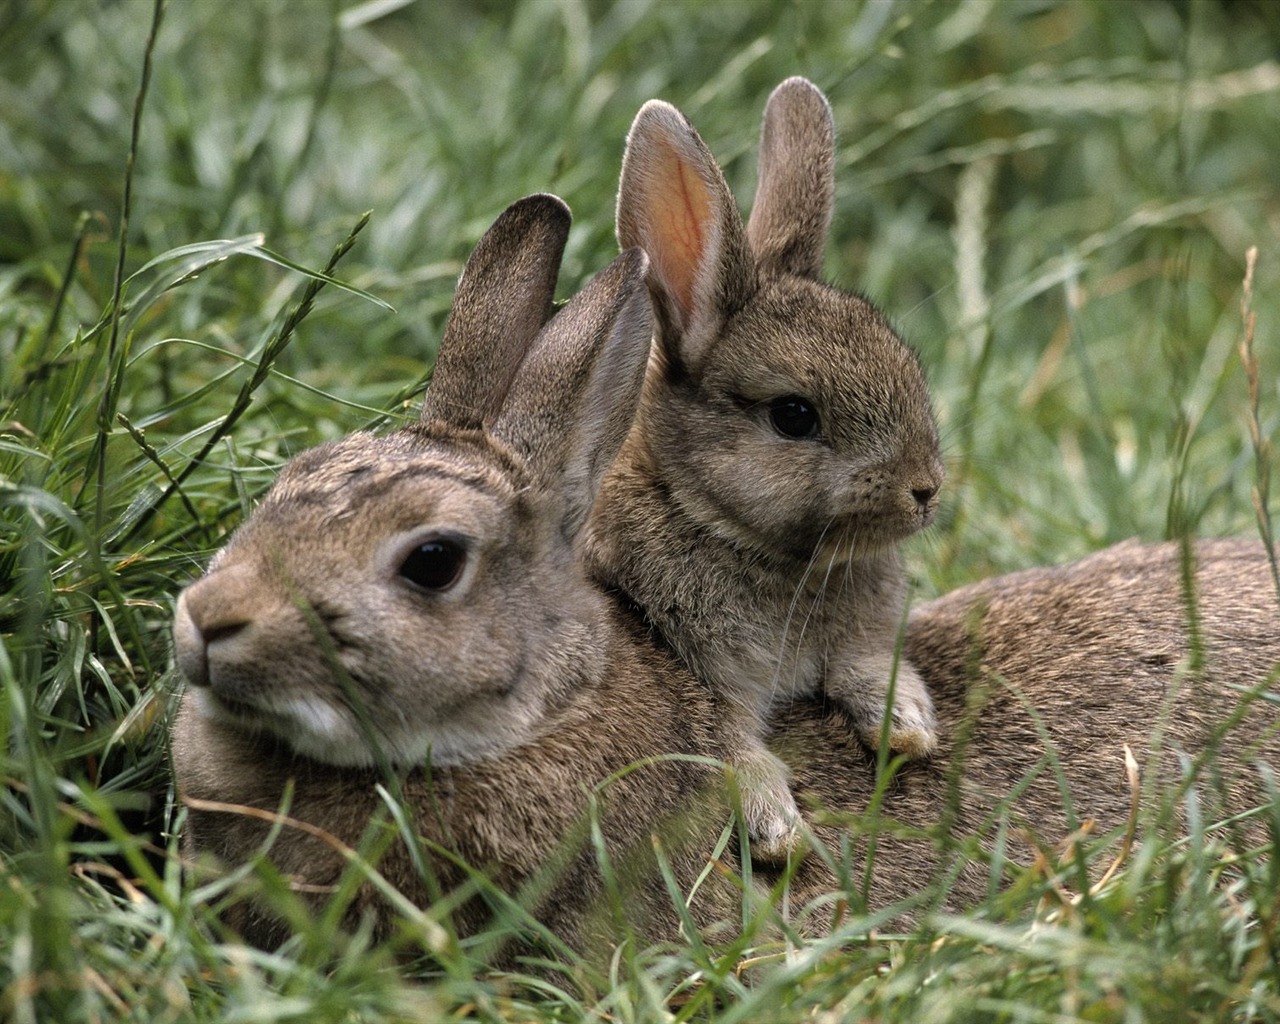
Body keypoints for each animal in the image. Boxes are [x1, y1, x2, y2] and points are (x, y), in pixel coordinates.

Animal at [586, 76, 947, 860]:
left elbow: (867, 665)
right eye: (793, 416)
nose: (926, 491)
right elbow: (728, 746)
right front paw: (779, 830)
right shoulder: (699, 674)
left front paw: (906, 727)